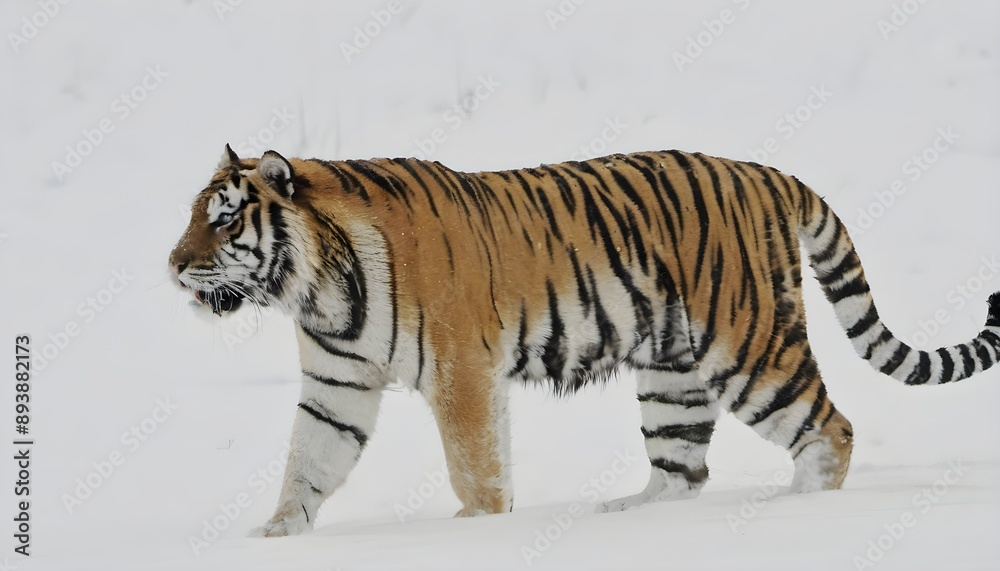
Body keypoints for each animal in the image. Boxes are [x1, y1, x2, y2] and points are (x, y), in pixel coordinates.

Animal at [169, 144, 1000, 537]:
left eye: (225, 219)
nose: (172, 265)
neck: (319, 290)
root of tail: (768, 172)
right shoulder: (338, 384)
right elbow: (307, 465)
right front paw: (273, 536)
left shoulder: (463, 373)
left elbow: (476, 468)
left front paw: (477, 530)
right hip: (672, 370)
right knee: (682, 470)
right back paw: (626, 514)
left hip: (750, 346)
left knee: (830, 428)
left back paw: (791, 508)